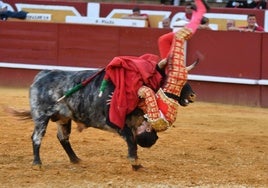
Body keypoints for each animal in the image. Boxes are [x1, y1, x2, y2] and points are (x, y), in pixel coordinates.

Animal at [10, 67, 196, 170]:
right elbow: (131, 141)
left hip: (63, 118)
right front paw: (135, 164)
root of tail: (42, 75)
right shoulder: (115, 122)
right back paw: (37, 163)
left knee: (63, 137)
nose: (192, 95)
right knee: (37, 137)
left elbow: (135, 141)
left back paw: (76, 159)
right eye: (171, 78)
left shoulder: (134, 123)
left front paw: (137, 162)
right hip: (41, 116)